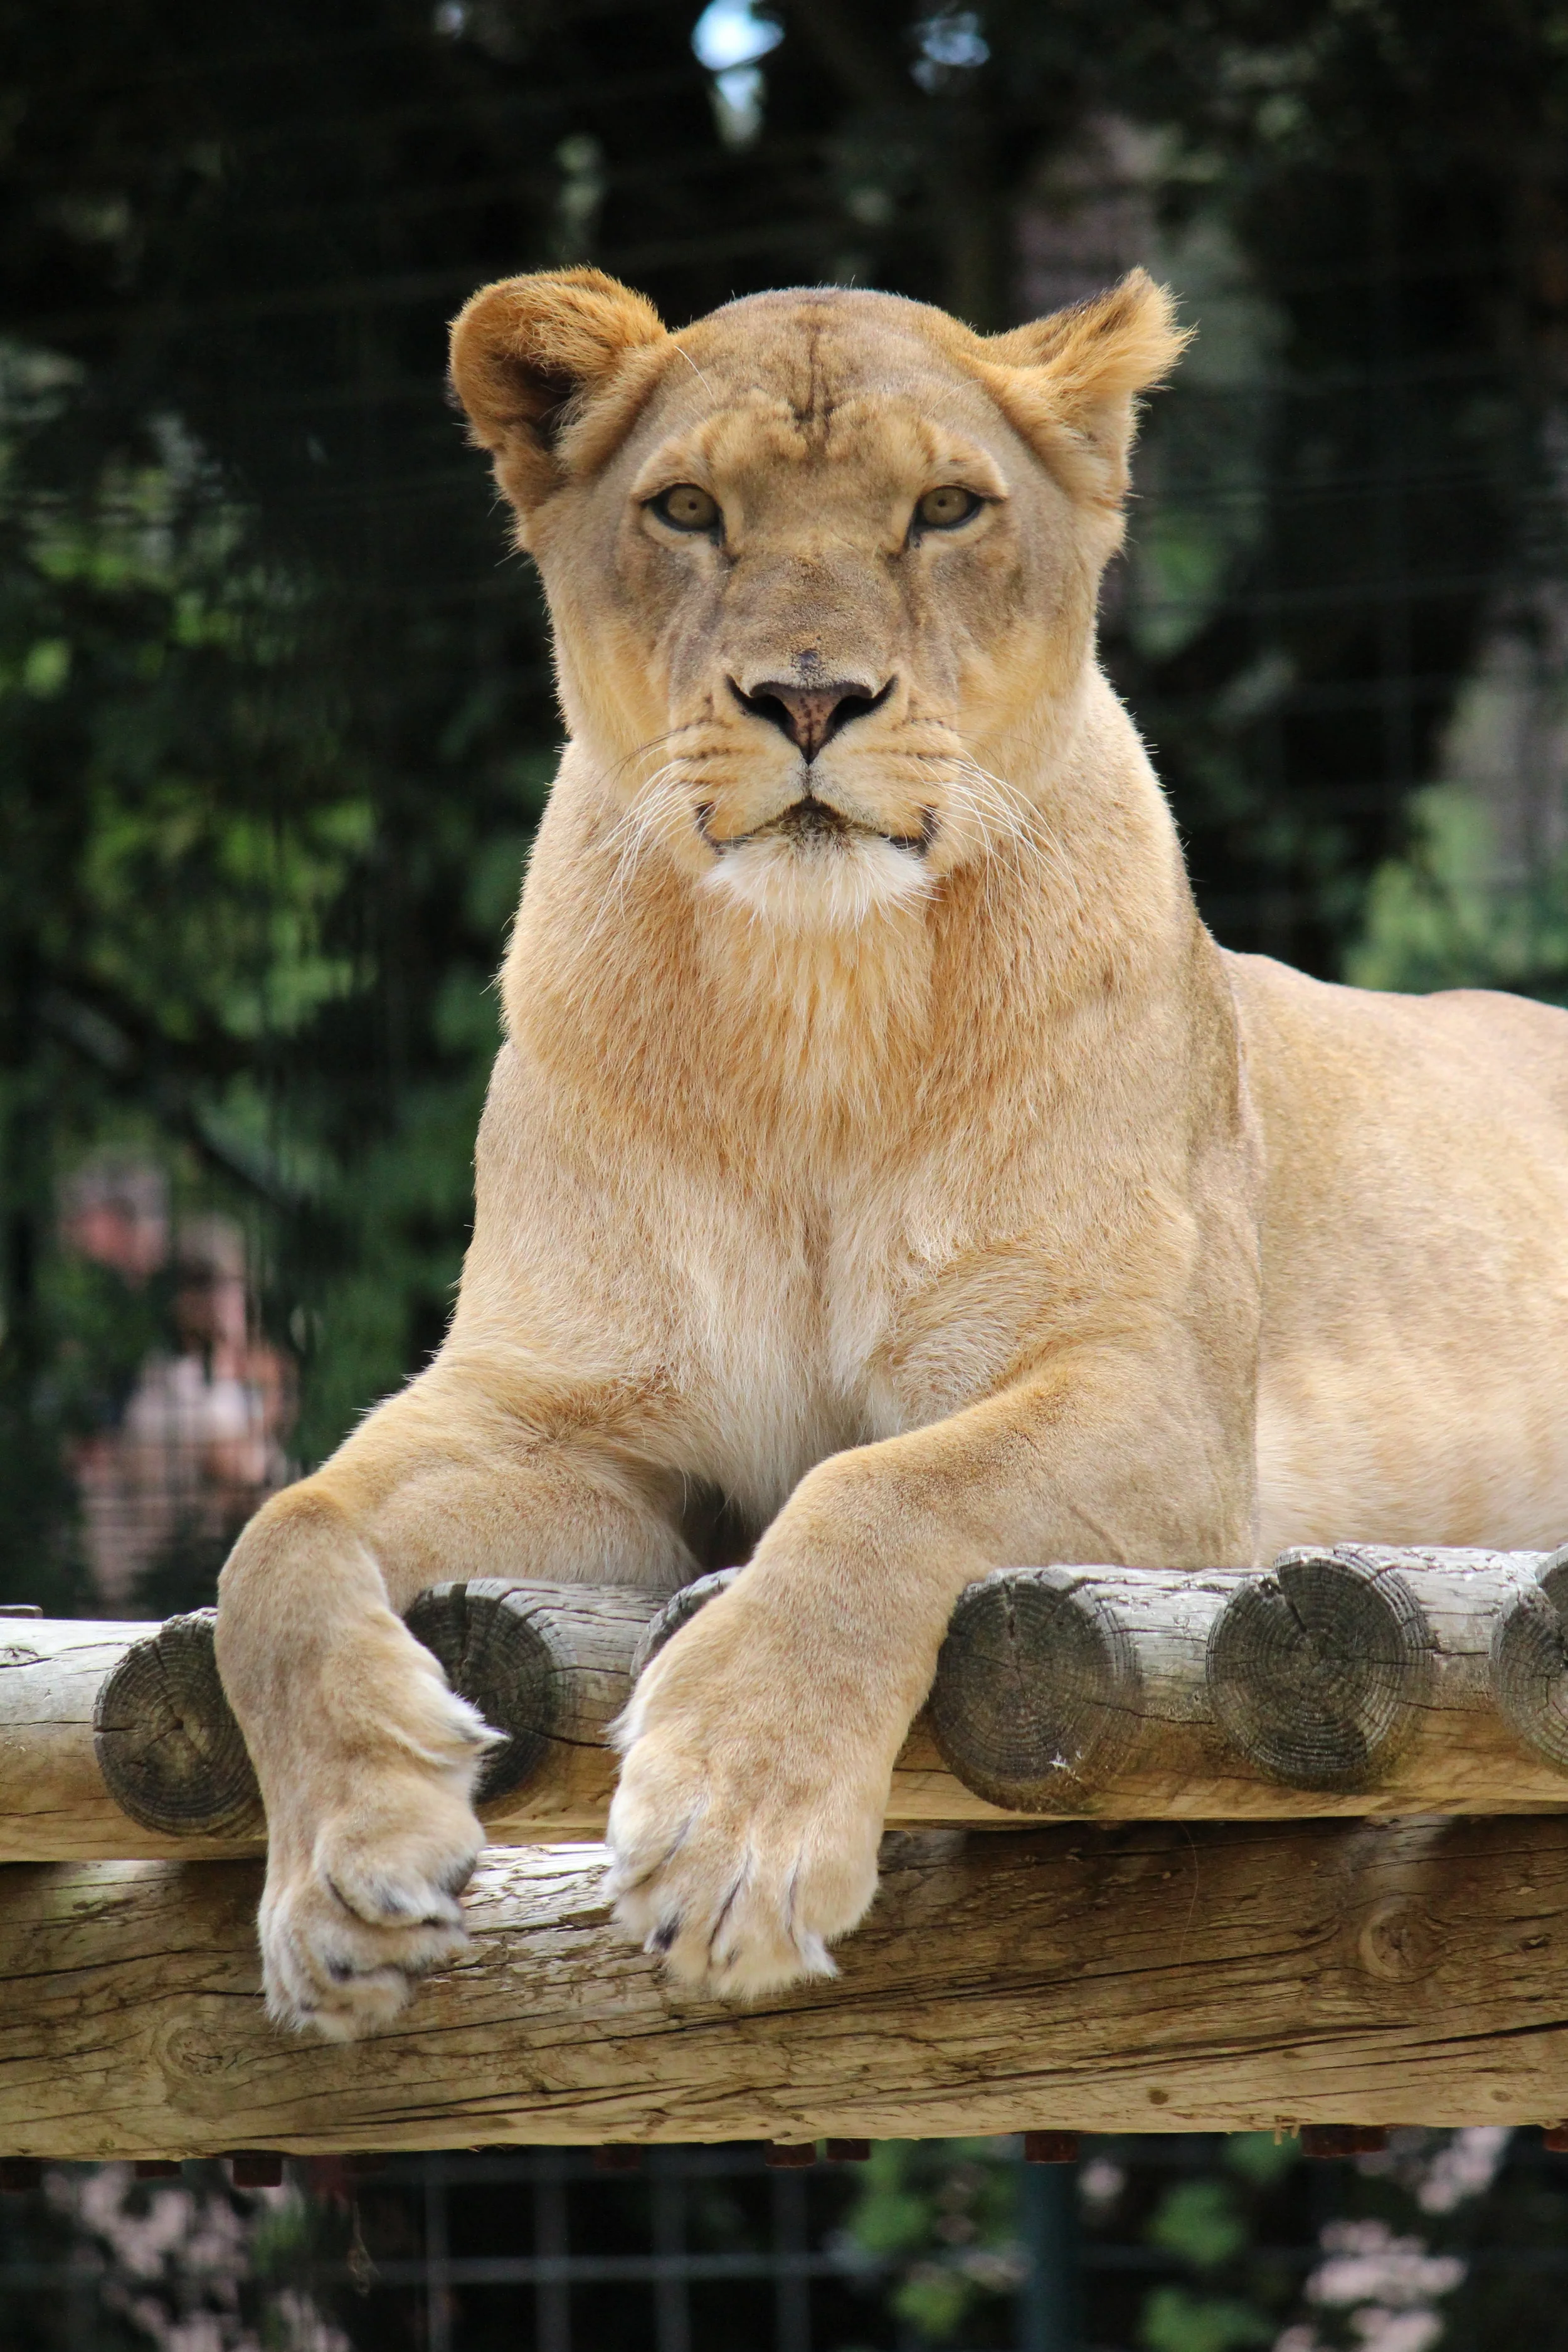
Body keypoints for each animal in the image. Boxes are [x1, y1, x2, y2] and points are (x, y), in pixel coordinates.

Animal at [213, 264, 1568, 2040]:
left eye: (942, 510)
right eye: (689, 510)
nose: (808, 699)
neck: (814, 1004)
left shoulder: (1155, 1408)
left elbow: (878, 1490)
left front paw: (733, 1830)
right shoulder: (559, 1411)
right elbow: (277, 1543)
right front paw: (343, 1872)